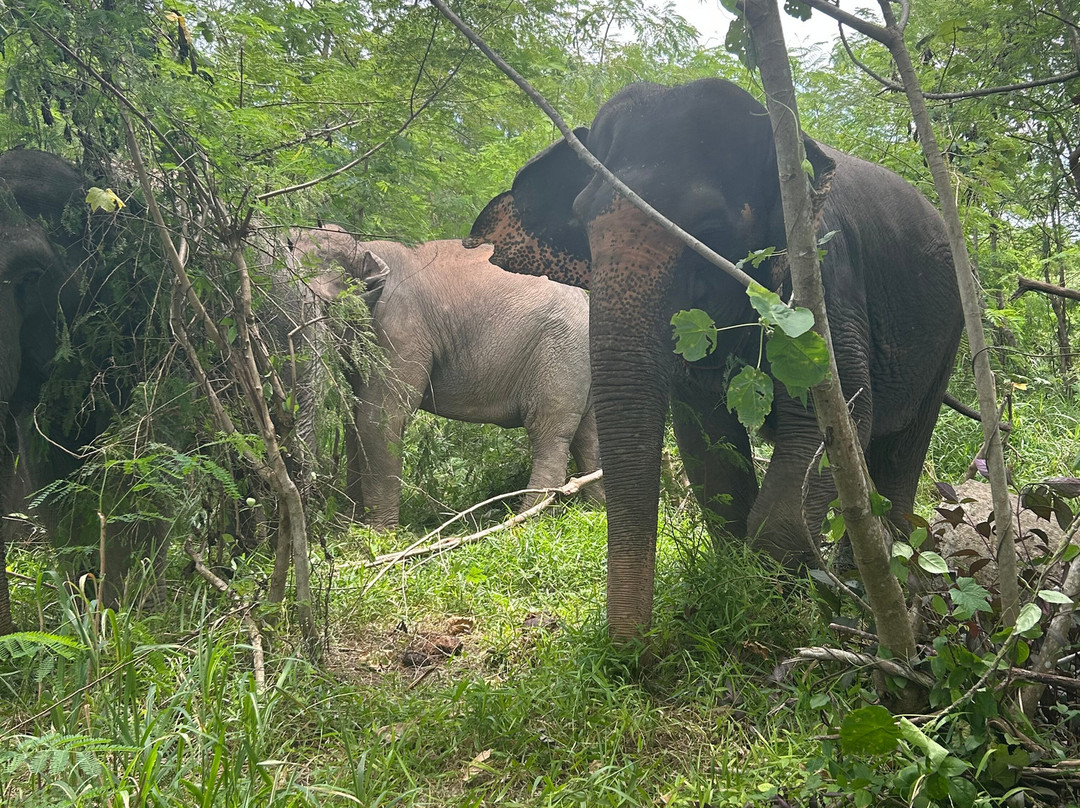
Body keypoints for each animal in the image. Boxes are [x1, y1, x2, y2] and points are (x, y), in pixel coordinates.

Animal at [291, 225, 603, 528]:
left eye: (323, 301)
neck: (366, 247)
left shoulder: (399, 328)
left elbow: (380, 418)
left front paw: (380, 534)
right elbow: (354, 419)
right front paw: (351, 527)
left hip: (559, 354)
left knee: (549, 434)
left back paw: (526, 523)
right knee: (587, 436)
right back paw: (594, 511)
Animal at [466, 78, 963, 640]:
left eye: (707, 226)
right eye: (582, 221)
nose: (635, 651)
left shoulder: (824, 278)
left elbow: (833, 419)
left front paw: (766, 604)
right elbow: (705, 440)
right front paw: (739, 584)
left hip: (948, 331)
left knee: (902, 451)